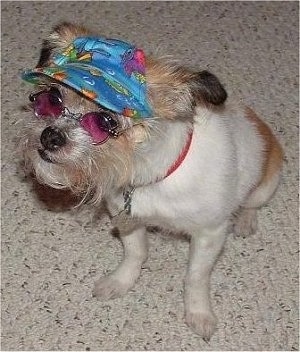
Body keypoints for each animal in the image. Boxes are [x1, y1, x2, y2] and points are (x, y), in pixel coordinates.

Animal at [19, 22, 282, 340]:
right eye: (52, 98)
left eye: (106, 121)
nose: (50, 136)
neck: (149, 176)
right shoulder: (126, 216)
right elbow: (136, 252)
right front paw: (120, 282)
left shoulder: (210, 233)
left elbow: (195, 277)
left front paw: (199, 313)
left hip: (265, 186)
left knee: (251, 205)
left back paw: (245, 221)